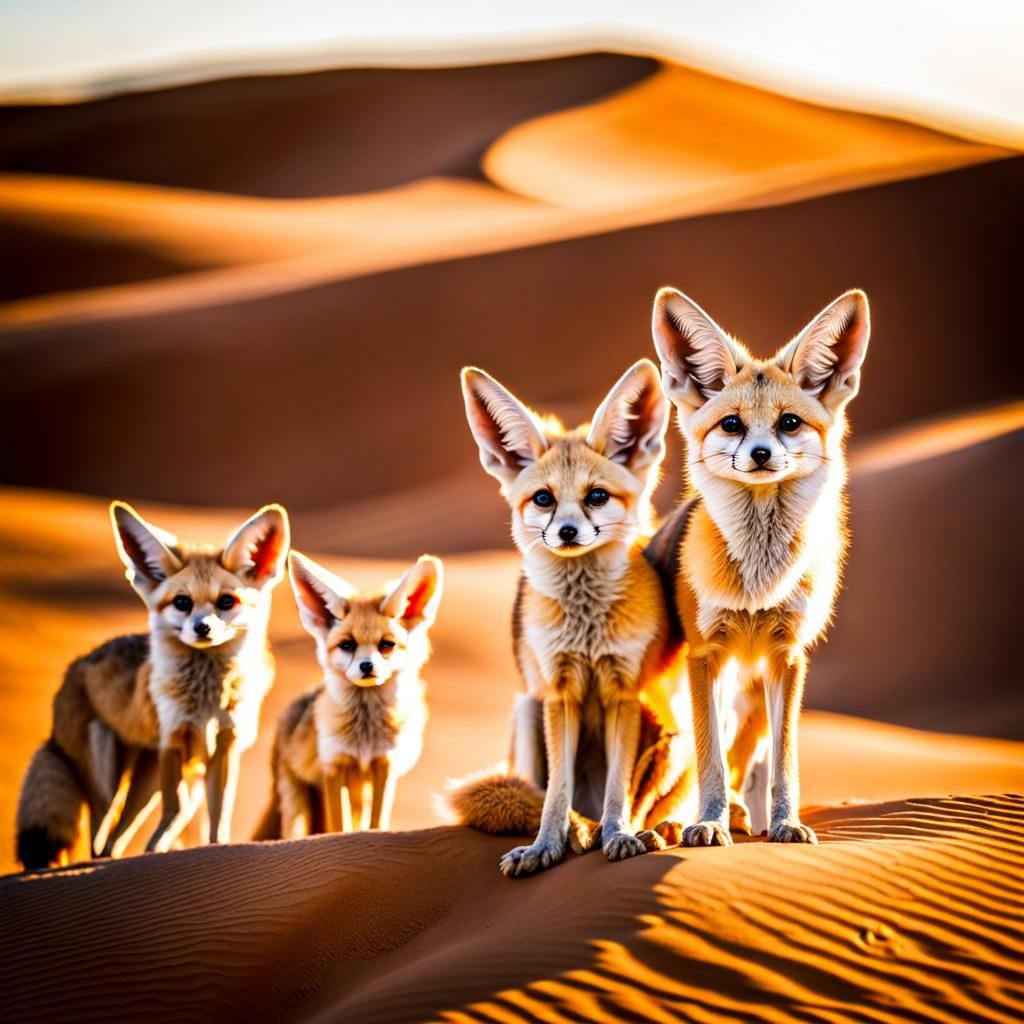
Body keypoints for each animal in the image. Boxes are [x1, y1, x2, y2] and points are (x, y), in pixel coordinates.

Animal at [15, 502, 289, 869]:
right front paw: (156, 853)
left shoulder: (225, 744)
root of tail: (73, 668)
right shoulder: (172, 740)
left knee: (115, 837)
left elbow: (218, 816)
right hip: (109, 777)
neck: (205, 701)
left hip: (147, 785)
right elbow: (174, 809)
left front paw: (216, 849)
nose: (202, 628)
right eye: (182, 602)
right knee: (99, 837)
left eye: (226, 601)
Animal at [255, 551, 441, 840]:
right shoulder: (333, 766)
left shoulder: (383, 764)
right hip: (297, 803)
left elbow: (376, 824)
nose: (367, 666)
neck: (363, 735)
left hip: (357, 795)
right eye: (347, 645)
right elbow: (339, 828)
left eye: (386, 645)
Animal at [457, 360, 694, 877]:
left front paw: (619, 836)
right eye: (543, 499)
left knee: (646, 804)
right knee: (551, 798)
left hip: (669, 730)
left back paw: (655, 831)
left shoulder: (622, 692)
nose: (567, 533)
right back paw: (579, 833)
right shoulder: (557, 692)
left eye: (597, 496)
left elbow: (619, 792)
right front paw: (546, 846)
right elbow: (554, 797)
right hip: (527, 708)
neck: (586, 629)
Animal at [646, 287, 871, 846]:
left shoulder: (787, 655)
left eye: (789, 423)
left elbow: (784, 761)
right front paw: (708, 822)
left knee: (754, 757)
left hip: (751, 688)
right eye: (732, 424)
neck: (757, 583)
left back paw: (752, 817)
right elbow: (710, 760)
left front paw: (785, 821)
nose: (762, 454)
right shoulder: (706, 655)